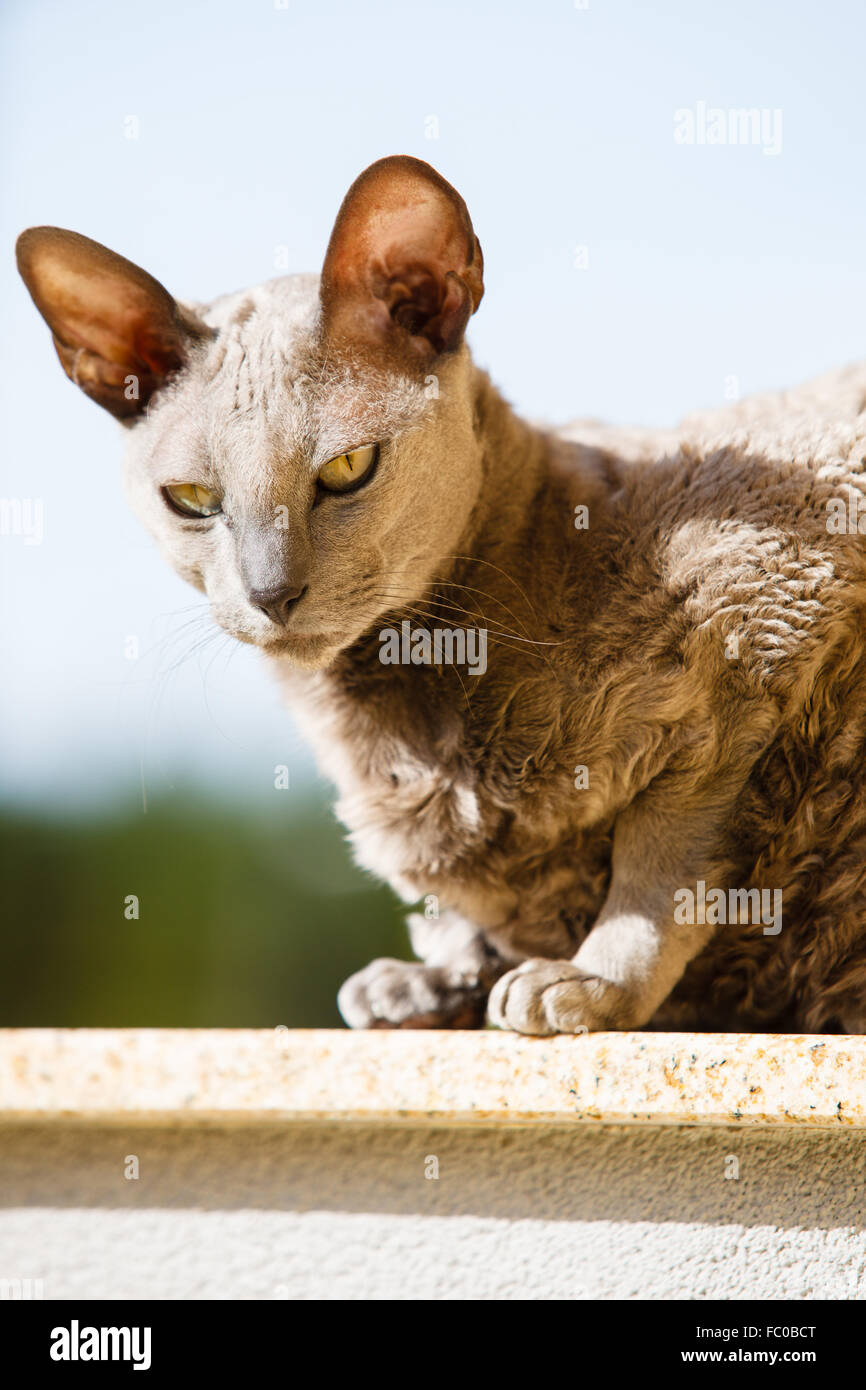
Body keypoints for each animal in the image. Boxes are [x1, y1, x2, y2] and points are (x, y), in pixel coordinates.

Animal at [15, 159, 866, 1034]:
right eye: (190, 499)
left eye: (348, 469)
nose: (271, 592)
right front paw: (437, 981)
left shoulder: (761, 636)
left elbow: (661, 865)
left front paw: (590, 983)